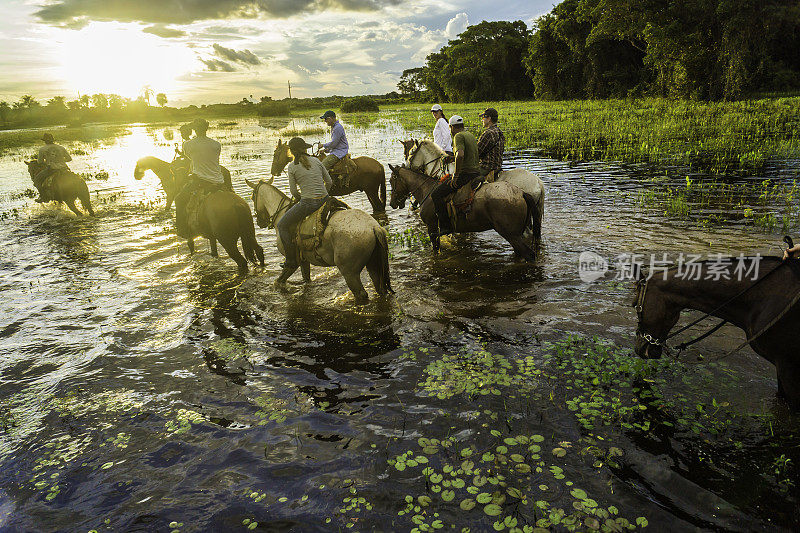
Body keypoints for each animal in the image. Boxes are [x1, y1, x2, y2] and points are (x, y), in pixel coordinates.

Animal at [245, 177, 392, 304]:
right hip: (373, 265)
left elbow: (279, 281)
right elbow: (306, 278)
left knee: (361, 294)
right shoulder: (304, 261)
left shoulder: (293, 262)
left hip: (350, 272)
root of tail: (373, 227)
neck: (281, 214)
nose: (259, 222)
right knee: (379, 288)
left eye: (252, 197)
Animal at [388, 164, 536, 260]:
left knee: (528, 254)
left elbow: (435, 249)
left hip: (511, 234)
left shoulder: (432, 228)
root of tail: (521, 193)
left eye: (391, 180)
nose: (392, 203)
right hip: (515, 234)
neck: (427, 191)